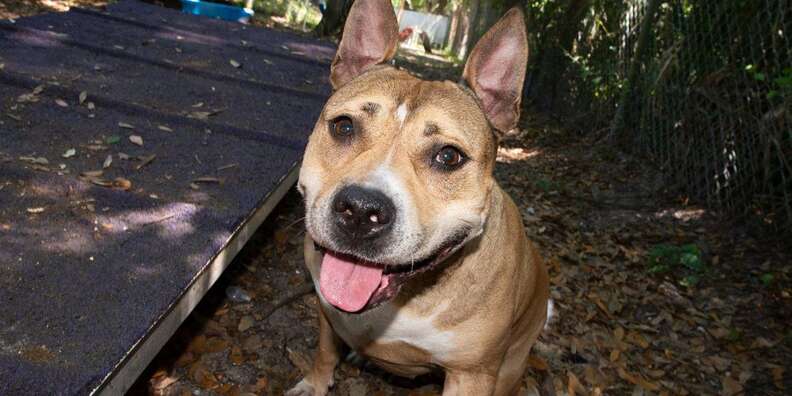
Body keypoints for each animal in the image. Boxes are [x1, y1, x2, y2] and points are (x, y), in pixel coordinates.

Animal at [286, 1, 552, 394]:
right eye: (344, 126)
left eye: (449, 156)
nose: (360, 211)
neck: (409, 294)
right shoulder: (326, 311)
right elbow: (325, 350)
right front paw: (316, 382)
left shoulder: (472, 374)